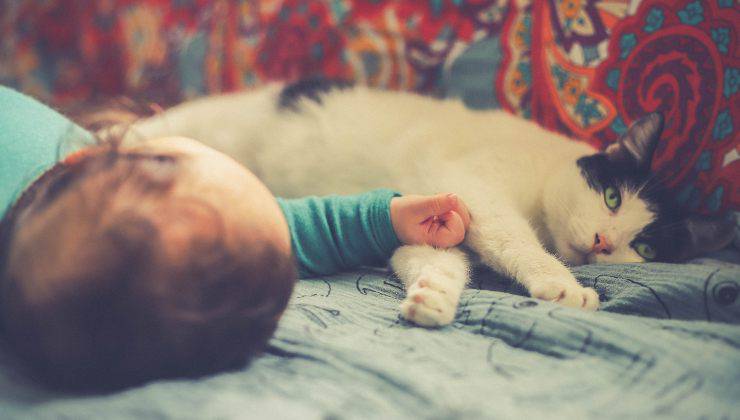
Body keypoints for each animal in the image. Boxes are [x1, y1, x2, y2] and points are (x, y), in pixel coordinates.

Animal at [132, 79, 736, 328]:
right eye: (612, 197)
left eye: (646, 247)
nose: (603, 242)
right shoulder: (480, 193)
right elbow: (518, 244)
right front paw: (562, 285)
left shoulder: (433, 222)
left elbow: (437, 260)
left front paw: (433, 298)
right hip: (199, 129)